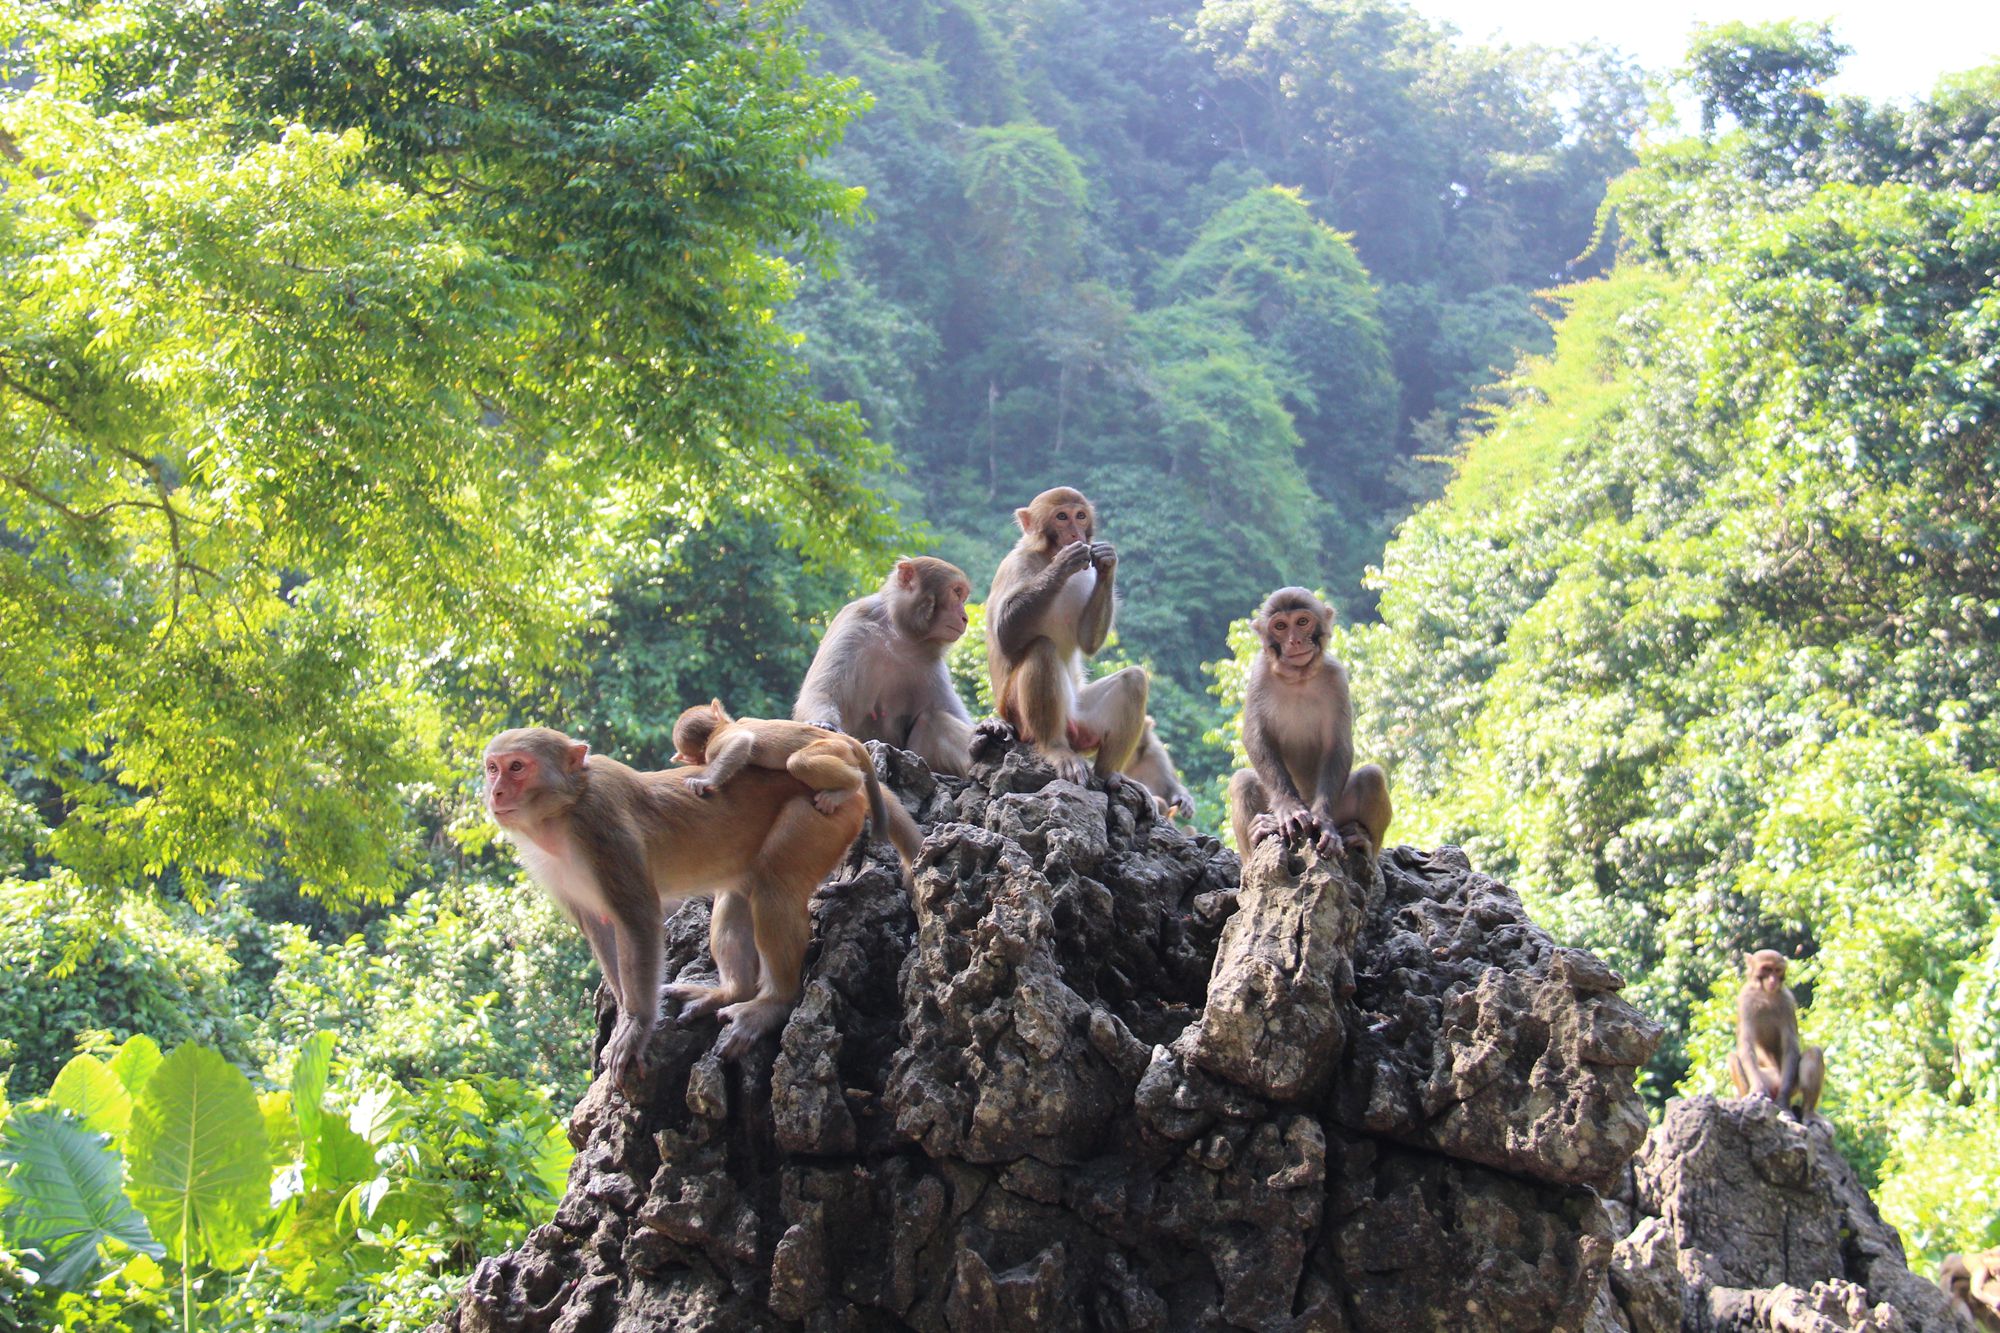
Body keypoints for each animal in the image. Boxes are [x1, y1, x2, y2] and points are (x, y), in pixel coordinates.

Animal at [484, 728, 868, 1080]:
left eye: (516, 767)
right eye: (492, 768)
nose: (495, 792)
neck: (564, 810)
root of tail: (859, 788)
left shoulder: (600, 826)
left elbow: (638, 920)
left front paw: (636, 1027)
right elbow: (599, 927)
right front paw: (624, 1016)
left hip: (821, 816)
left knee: (773, 885)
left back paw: (772, 1004)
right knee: (739, 893)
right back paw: (731, 992)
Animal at [668, 700, 924, 876]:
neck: (719, 728)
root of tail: (848, 740)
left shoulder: (717, 743)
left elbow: (740, 743)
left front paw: (705, 781)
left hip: (833, 749)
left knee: (799, 763)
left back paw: (849, 786)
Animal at [984, 480, 1184, 804]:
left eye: (1079, 516)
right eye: (1061, 517)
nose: (1076, 534)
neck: (1046, 554)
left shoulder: (1087, 574)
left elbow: (1088, 641)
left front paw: (1107, 561)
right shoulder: (1014, 565)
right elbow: (1005, 633)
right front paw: (1062, 564)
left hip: (1082, 723)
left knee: (1133, 680)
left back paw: (1110, 775)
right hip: (1018, 716)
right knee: (1041, 649)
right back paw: (1055, 748)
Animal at [1216, 584, 1392, 856]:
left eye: (1302, 622)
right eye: (1280, 626)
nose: (1295, 641)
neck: (1298, 677)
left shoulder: (1336, 676)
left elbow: (1337, 744)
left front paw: (1325, 821)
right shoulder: (1259, 674)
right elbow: (1256, 736)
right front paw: (1288, 807)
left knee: (1372, 776)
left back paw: (1364, 845)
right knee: (1242, 781)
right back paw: (1257, 836)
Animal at [1720, 944, 1832, 1120]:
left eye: (1777, 970)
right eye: (1767, 969)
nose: (1772, 980)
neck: (1765, 994)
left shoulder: (1787, 1002)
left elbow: (1790, 1047)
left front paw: (1784, 1102)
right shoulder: (1745, 1001)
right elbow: (1746, 1045)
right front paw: (1757, 1090)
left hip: (1792, 1084)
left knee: (1814, 1053)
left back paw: (1806, 1112)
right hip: (1767, 1080)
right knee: (1733, 1058)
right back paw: (1748, 1099)